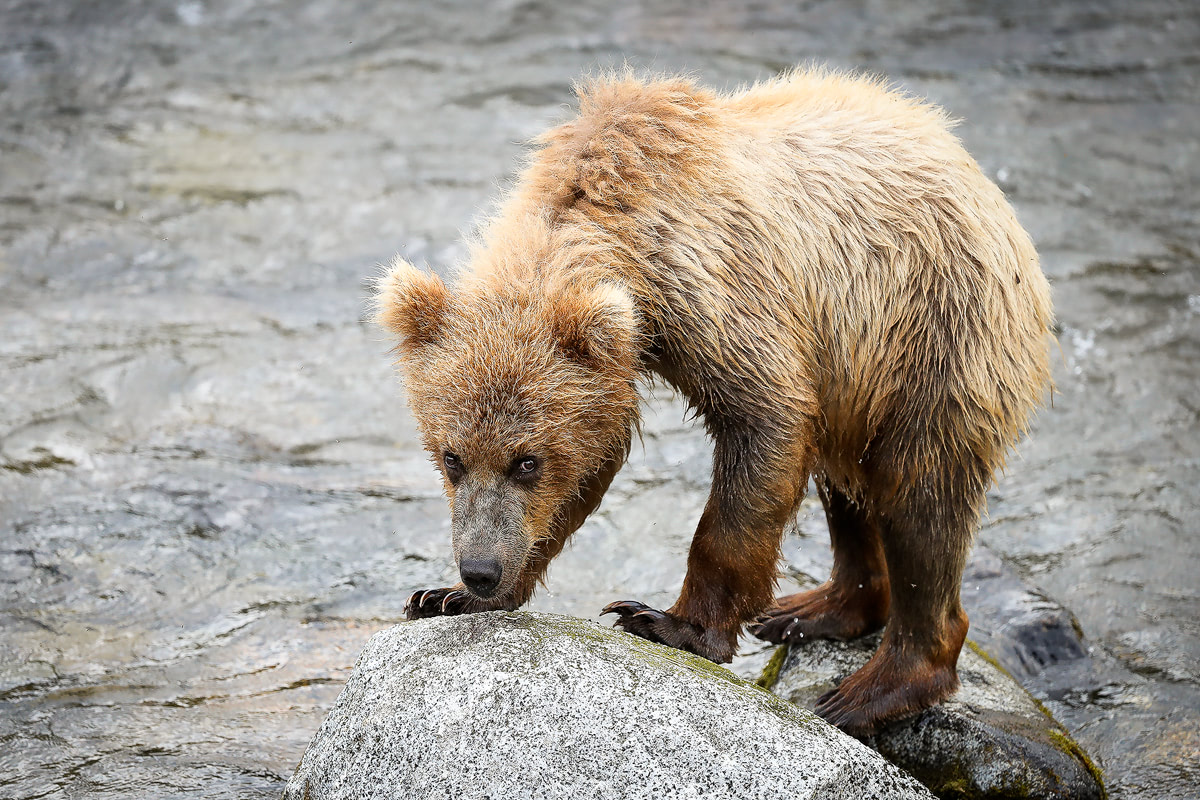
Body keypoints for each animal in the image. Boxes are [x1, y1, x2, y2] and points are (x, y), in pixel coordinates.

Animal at [376, 70, 1051, 738]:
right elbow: (596, 462)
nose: (479, 567)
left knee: (922, 498)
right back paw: (816, 609)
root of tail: (971, 167)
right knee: (848, 483)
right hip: (856, 368)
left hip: (934, 331)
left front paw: (668, 622)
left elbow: (763, 426)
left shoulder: (719, 289)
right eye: (452, 458)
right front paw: (446, 597)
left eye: (527, 461)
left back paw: (872, 687)